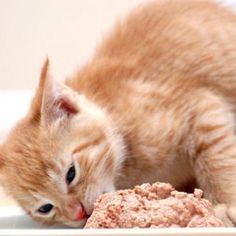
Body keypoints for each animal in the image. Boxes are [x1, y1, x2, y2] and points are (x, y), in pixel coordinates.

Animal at [0, 0, 236, 228]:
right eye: (45, 208)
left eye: (71, 174)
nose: (77, 213)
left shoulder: (201, 107)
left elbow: (219, 159)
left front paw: (227, 203)